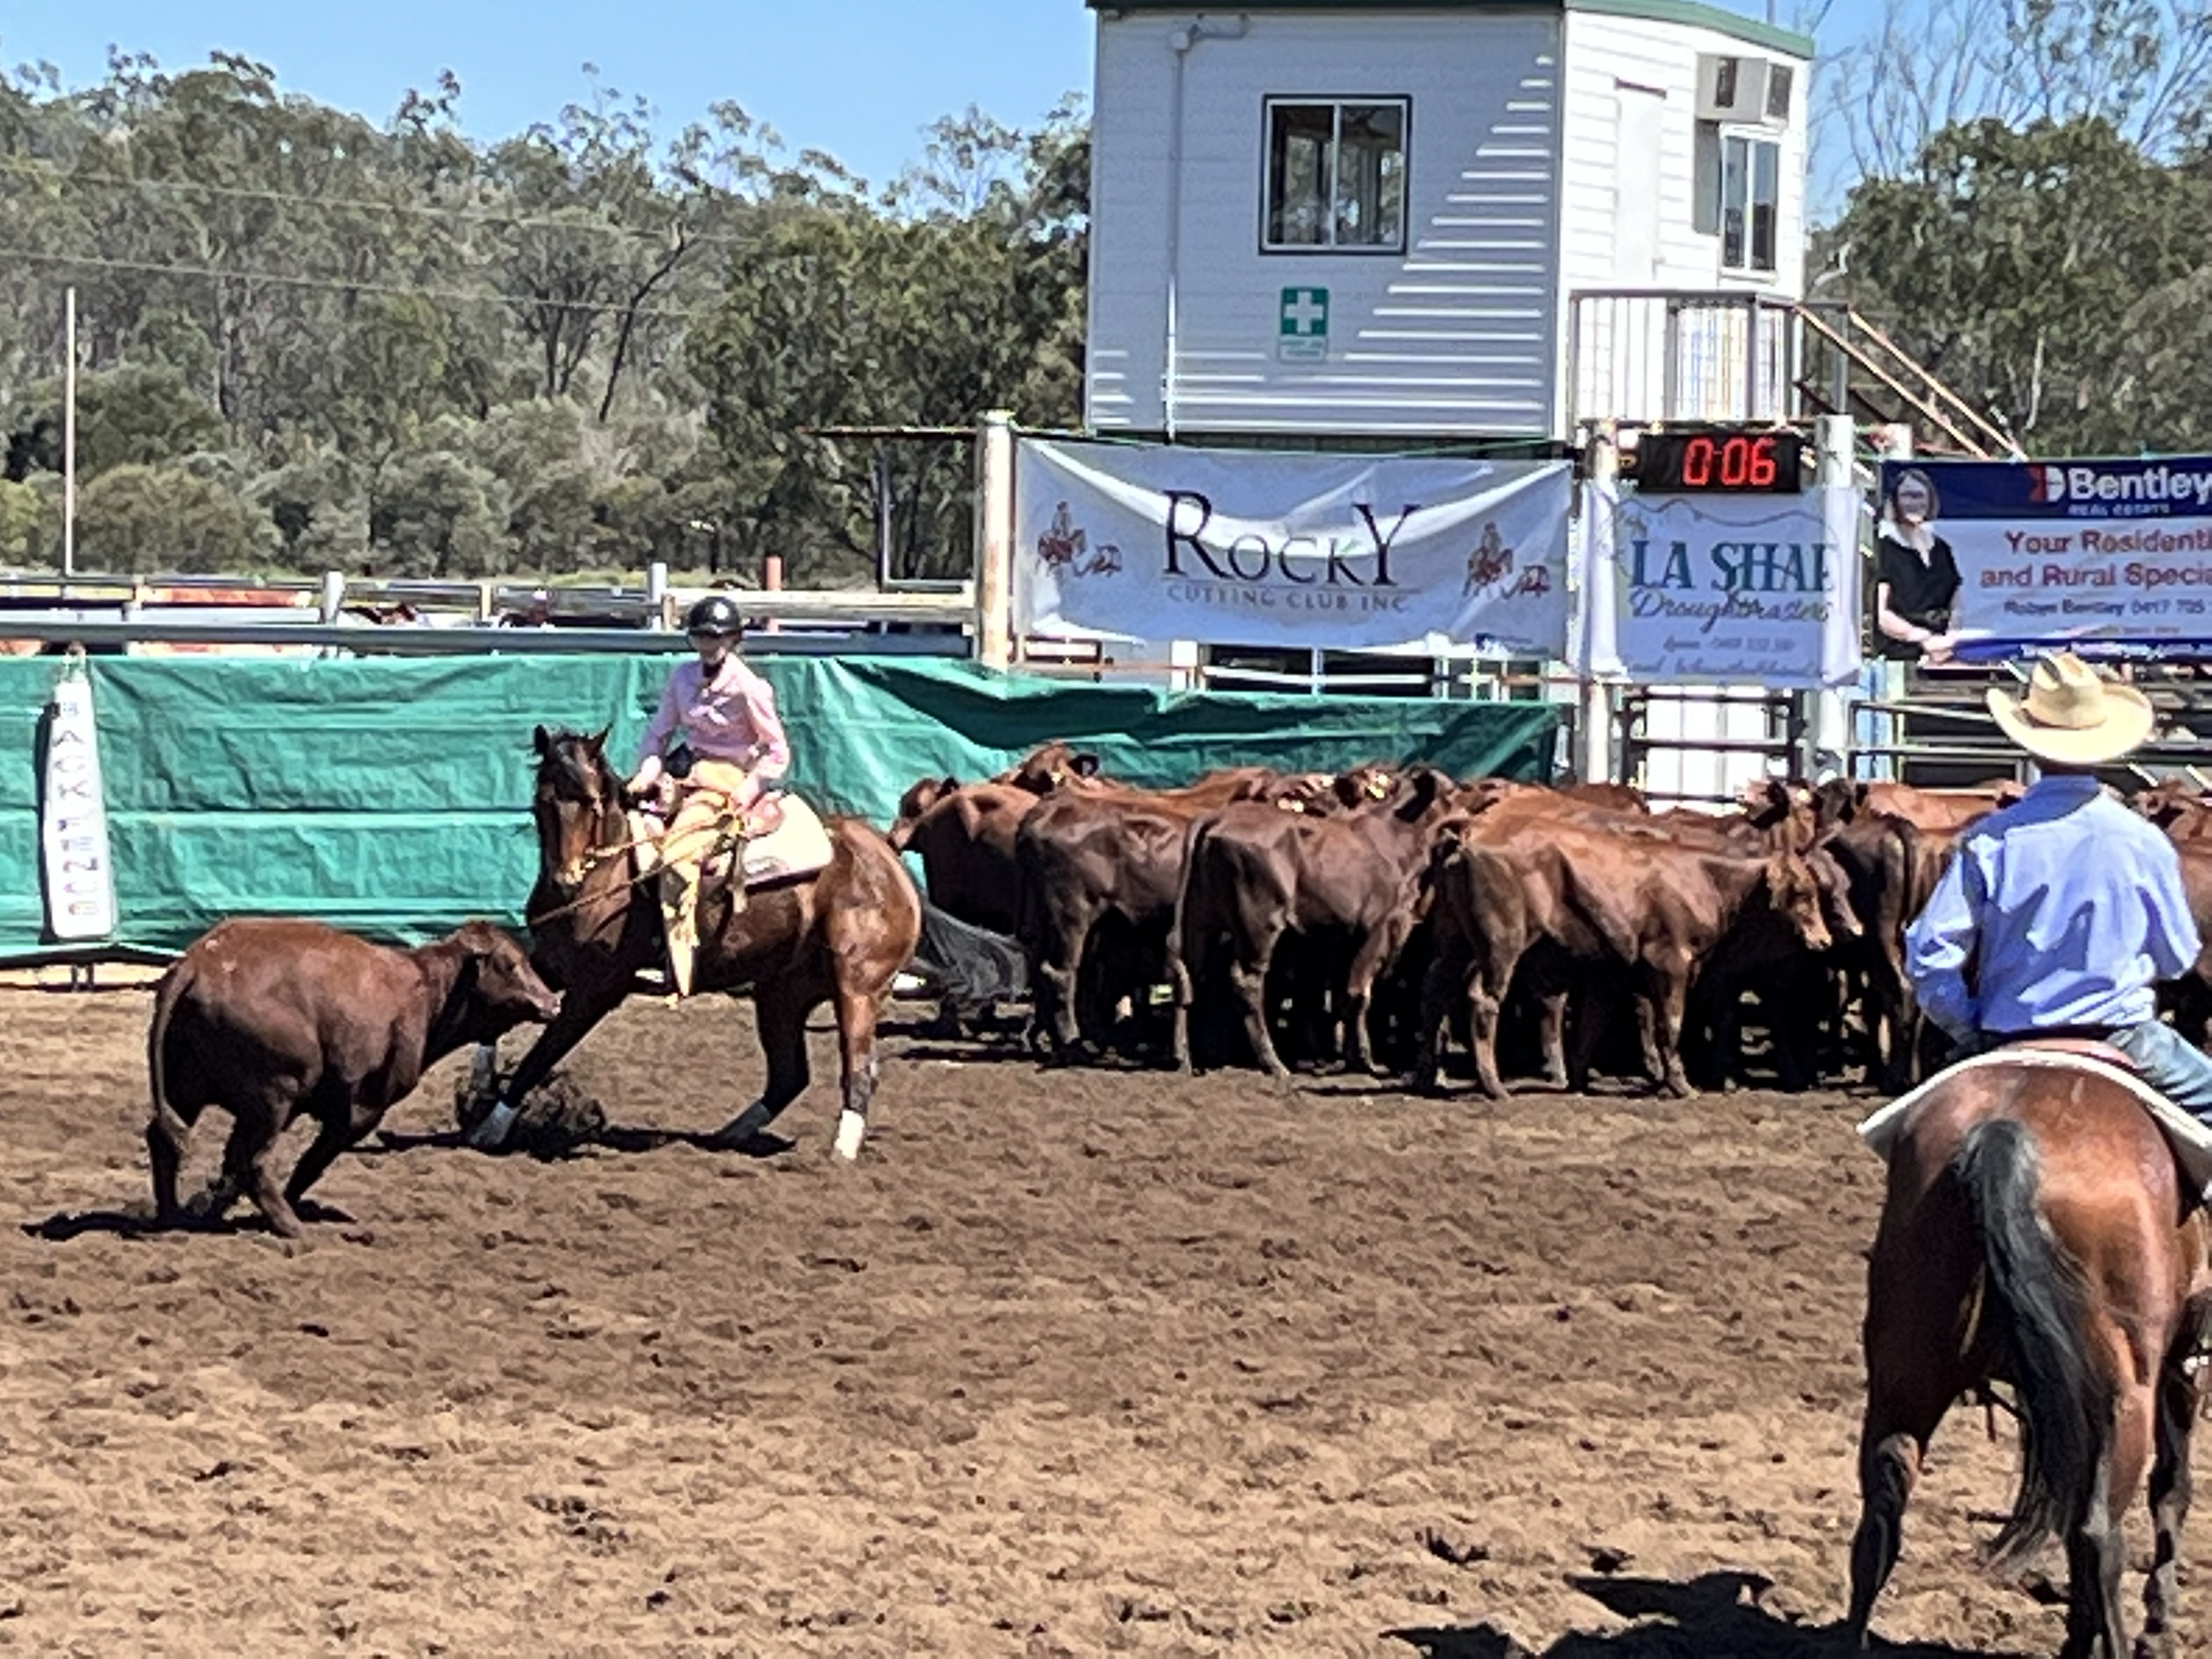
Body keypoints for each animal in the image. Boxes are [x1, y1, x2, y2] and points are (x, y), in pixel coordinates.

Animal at [146, 918, 561, 1238]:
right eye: (512, 964)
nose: (553, 1003)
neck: (427, 993)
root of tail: (200, 961)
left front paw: (212, 1206)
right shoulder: (359, 1111)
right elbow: (311, 1164)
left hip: (186, 1087)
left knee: (167, 1141)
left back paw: (173, 1217)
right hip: (274, 1096)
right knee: (251, 1159)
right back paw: (290, 1226)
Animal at [469, 726, 922, 1159]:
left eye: (593, 802)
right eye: (542, 800)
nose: (567, 879)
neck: (610, 878)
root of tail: (886, 858)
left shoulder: (597, 990)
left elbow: (539, 1057)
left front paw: (490, 1129)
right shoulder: (551, 964)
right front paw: (479, 1080)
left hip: (856, 988)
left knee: (858, 1070)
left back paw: (840, 1154)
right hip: (781, 993)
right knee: (789, 1077)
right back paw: (727, 1136)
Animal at [1848, 1051, 2212, 1657]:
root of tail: (2001, 1131)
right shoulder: (2184, 1368)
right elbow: (2172, 1488)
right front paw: (2158, 1625)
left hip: (1906, 1373)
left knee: (1880, 1516)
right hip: (2124, 1395)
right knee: (2098, 1535)